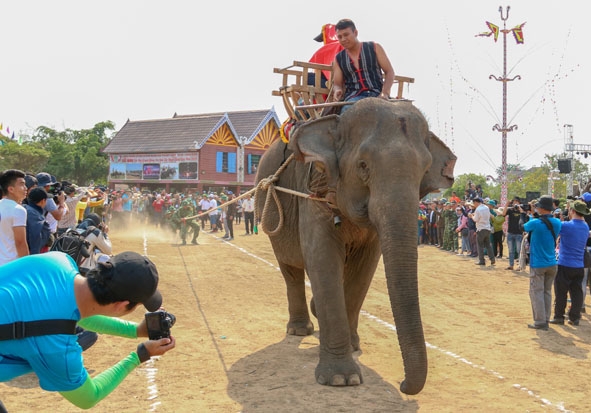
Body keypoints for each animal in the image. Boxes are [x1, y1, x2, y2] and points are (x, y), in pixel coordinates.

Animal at [254, 98, 458, 394]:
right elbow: (323, 259)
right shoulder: (314, 189)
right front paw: (341, 379)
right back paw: (300, 330)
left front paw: (352, 347)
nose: (403, 384)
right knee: (290, 268)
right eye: (363, 165)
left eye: (424, 169)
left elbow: (364, 269)